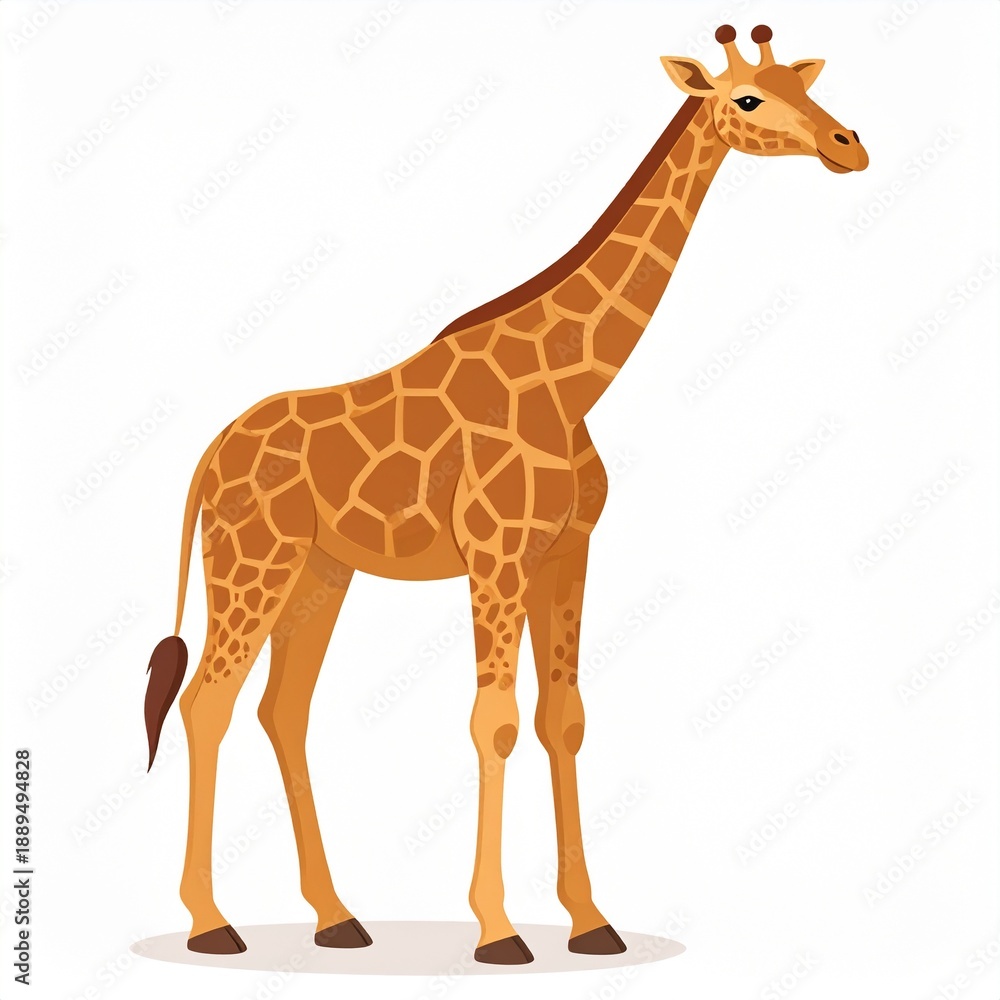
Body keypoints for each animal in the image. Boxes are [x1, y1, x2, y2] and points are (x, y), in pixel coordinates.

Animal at [144, 25, 867, 964]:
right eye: (747, 97)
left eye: (802, 85)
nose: (848, 145)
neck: (572, 383)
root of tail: (208, 456)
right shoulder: (497, 551)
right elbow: (495, 720)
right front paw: (498, 932)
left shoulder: (567, 550)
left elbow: (565, 717)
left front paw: (591, 923)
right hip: (250, 563)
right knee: (207, 704)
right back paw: (211, 923)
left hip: (319, 574)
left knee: (282, 710)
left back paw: (337, 917)